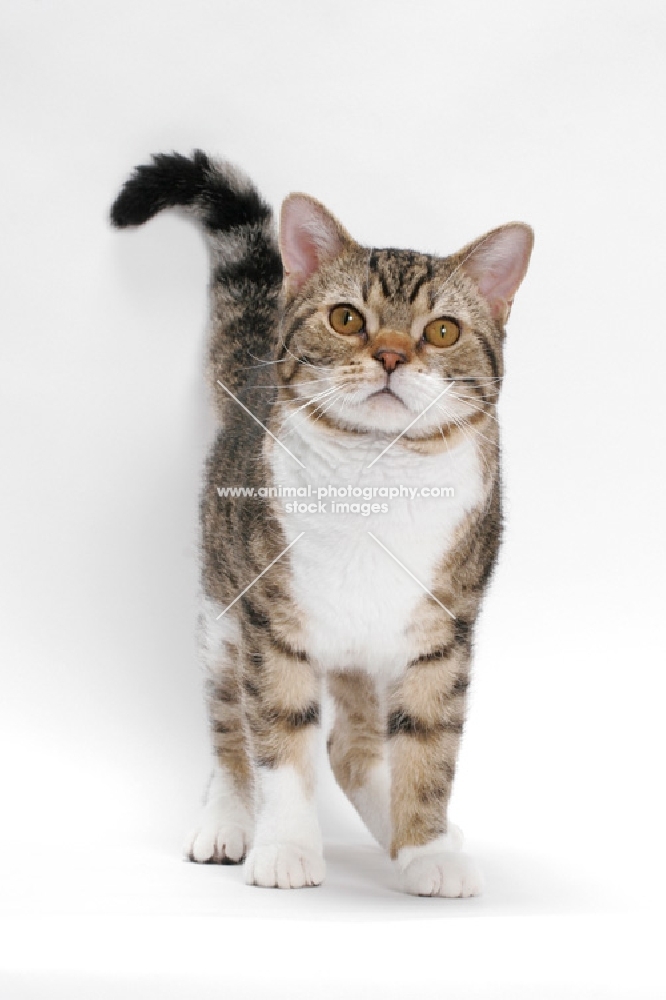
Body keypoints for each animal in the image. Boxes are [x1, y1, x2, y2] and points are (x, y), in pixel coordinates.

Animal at [111, 150, 532, 900]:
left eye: (443, 331)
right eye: (345, 318)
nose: (391, 355)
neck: (376, 480)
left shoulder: (442, 635)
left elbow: (429, 747)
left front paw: (426, 846)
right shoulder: (272, 628)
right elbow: (279, 740)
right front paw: (285, 848)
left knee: (352, 746)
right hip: (222, 612)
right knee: (232, 726)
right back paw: (228, 818)